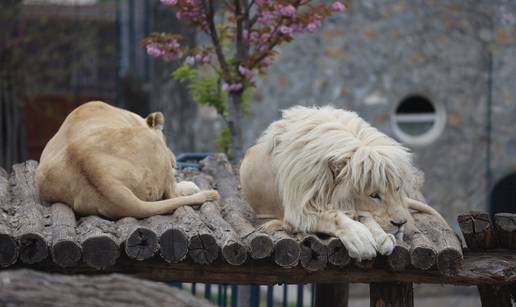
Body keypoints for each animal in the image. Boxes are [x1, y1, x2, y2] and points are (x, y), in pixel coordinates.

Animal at [240, 105, 446, 260]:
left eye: (397, 188)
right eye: (374, 195)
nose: (401, 223)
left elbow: (361, 215)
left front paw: (382, 237)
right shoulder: (298, 212)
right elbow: (332, 216)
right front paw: (360, 239)